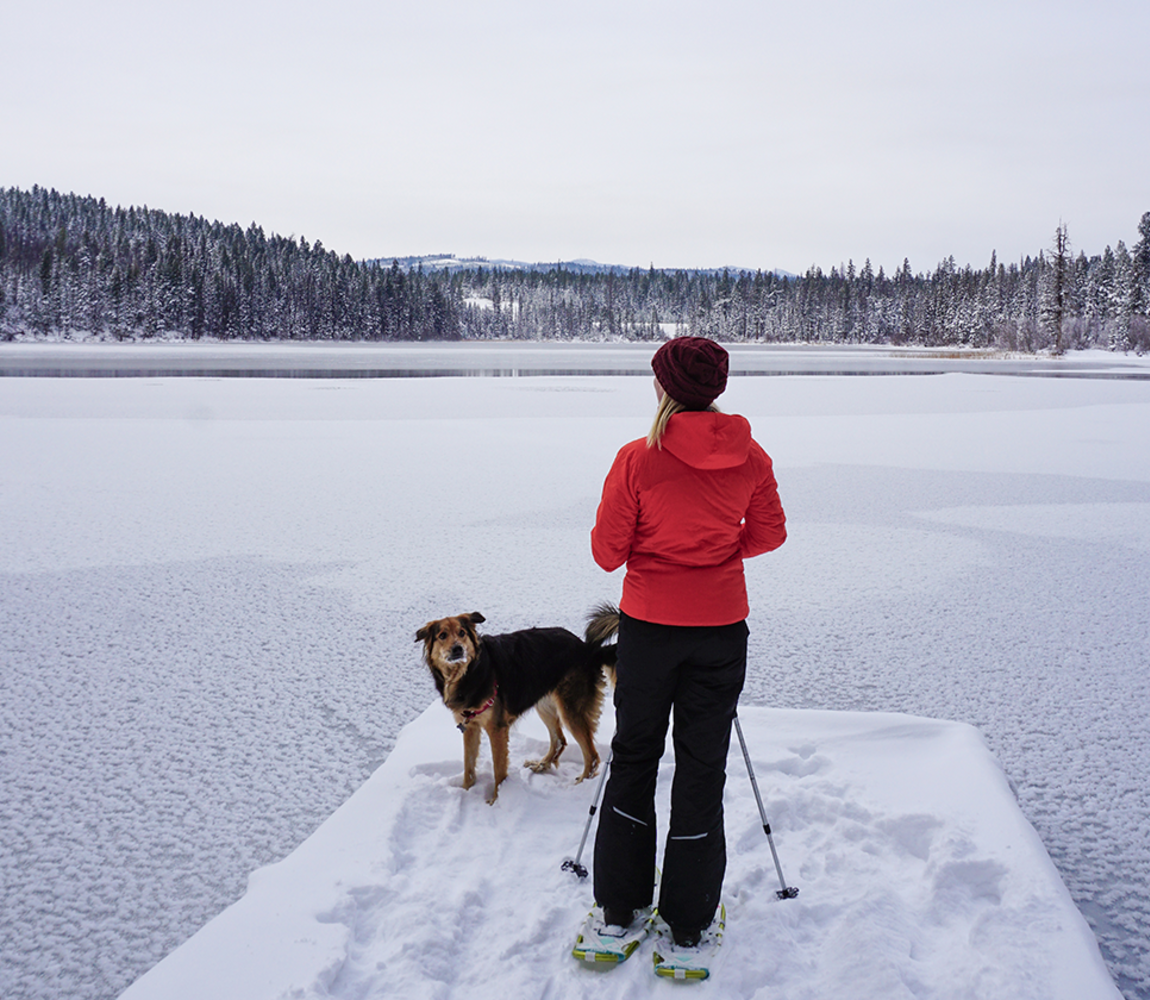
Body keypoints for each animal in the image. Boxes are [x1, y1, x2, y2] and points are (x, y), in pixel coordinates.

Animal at [418, 611, 621, 804]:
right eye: (442, 635)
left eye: (462, 633)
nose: (458, 649)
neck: (469, 673)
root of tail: (588, 649)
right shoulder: (470, 726)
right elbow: (468, 765)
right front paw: (466, 791)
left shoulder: (497, 728)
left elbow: (499, 769)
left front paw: (496, 800)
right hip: (545, 705)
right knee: (560, 740)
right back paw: (541, 765)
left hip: (570, 710)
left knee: (592, 756)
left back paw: (580, 784)